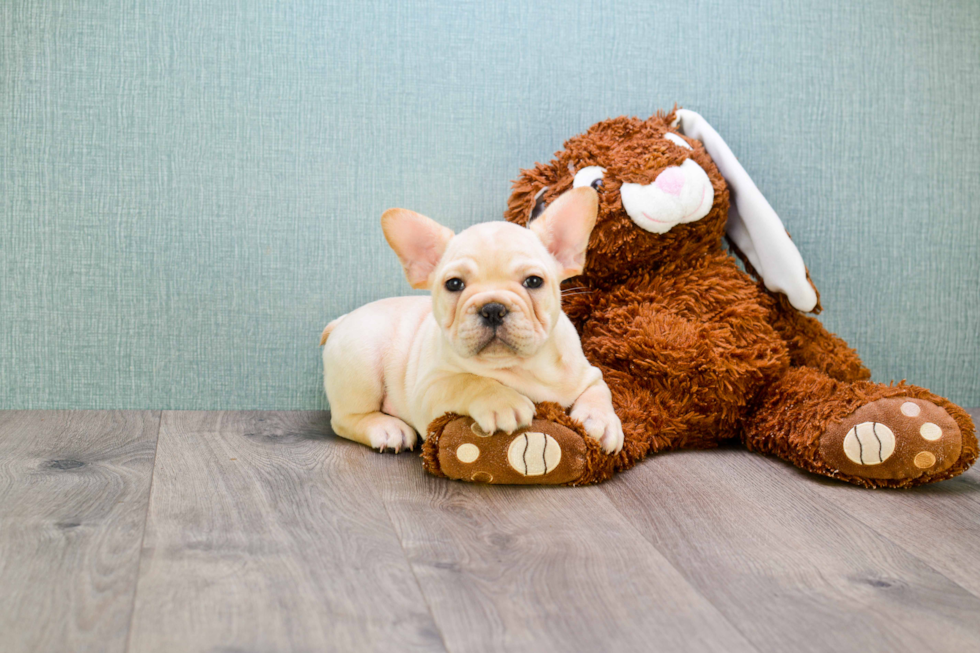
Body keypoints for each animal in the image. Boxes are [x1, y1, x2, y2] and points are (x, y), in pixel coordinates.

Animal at [326, 187, 624, 454]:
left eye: (534, 281)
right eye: (454, 284)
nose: (492, 308)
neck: (520, 367)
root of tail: (342, 320)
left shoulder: (588, 375)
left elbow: (601, 392)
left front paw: (602, 422)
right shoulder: (429, 390)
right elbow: (468, 381)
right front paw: (502, 401)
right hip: (362, 366)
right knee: (344, 419)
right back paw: (388, 429)